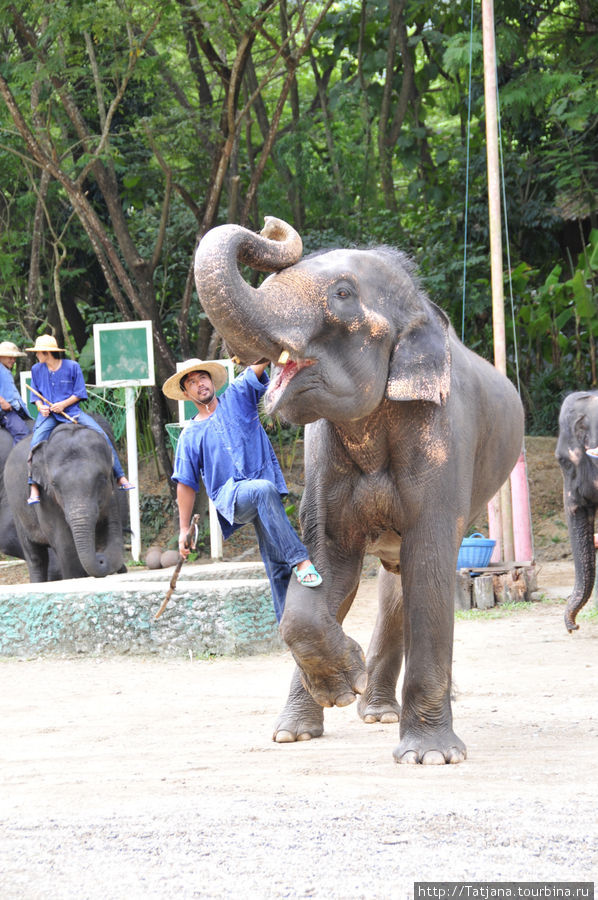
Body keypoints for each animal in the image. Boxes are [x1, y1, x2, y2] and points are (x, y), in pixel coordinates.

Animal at [4, 416, 127, 584]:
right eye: (54, 484)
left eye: (102, 478)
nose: (101, 558)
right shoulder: (46, 498)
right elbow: (66, 546)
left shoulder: (112, 492)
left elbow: (112, 528)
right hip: (16, 508)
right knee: (36, 557)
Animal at [196, 218, 524, 768]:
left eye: (343, 294)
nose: (269, 226)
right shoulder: (323, 458)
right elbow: (327, 564)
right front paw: (338, 689)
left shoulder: (441, 438)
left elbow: (431, 563)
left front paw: (430, 757)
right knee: (385, 584)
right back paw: (330, 722)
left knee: (411, 577)